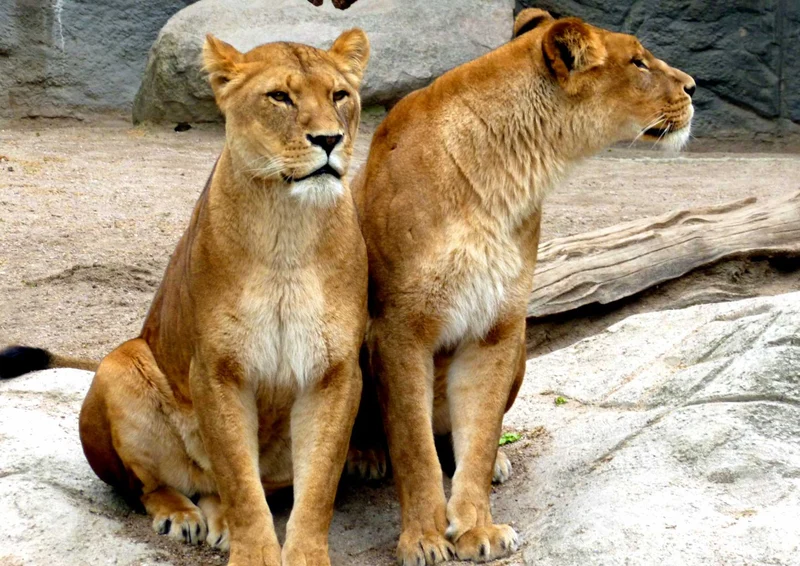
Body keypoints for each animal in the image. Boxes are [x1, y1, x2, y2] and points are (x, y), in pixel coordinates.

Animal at [1, 29, 370, 566]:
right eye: (280, 96)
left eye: (339, 95)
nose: (328, 140)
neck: (288, 227)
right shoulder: (216, 368)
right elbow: (239, 480)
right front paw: (254, 554)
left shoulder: (335, 371)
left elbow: (318, 483)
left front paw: (303, 555)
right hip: (120, 364)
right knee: (151, 485)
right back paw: (181, 516)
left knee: (224, 486)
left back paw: (217, 521)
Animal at [347, 9, 695, 565]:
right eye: (638, 62)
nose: (693, 86)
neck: (506, 174)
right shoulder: (399, 329)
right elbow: (413, 447)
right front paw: (422, 539)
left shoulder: (497, 328)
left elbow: (481, 431)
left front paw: (476, 527)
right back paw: (363, 455)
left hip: (522, 352)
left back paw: (495, 466)